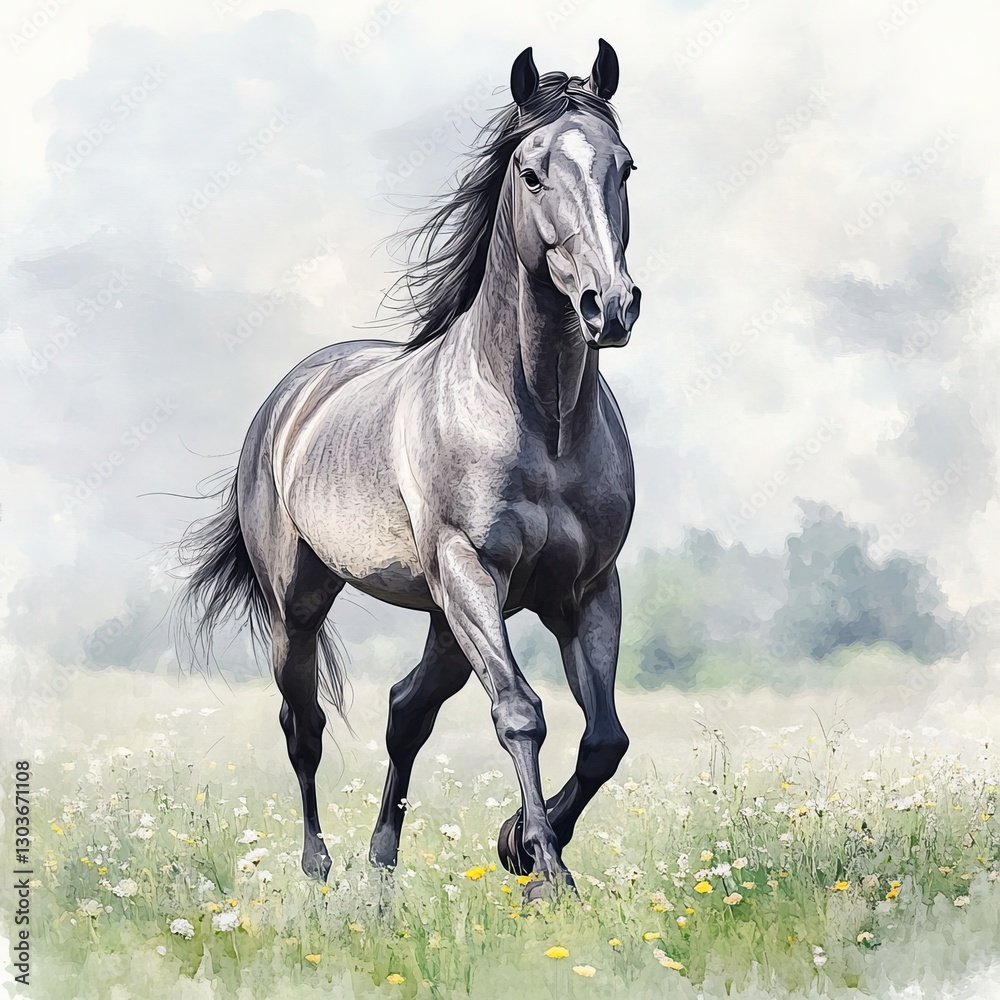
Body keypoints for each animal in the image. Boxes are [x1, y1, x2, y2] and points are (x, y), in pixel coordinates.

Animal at [178, 39, 641, 900]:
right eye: (532, 173)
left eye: (623, 166)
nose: (612, 307)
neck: (542, 419)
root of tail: (287, 400)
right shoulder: (469, 570)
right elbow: (521, 712)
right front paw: (544, 869)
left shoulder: (588, 589)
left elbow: (605, 739)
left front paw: (521, 846)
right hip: (305, 607)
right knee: (303, 724)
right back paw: (319, 868)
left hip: (445, 618)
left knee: (407, 711)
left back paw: (383, 863)